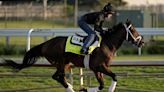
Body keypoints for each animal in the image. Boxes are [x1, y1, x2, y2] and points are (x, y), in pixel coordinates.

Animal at [3, 19, 144, 91]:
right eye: (133, 29)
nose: (141, 41)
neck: (107, 43)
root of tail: (45, 44)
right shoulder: (98, 66)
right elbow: (113, 76)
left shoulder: (97, 69)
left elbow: (101, 84)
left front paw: (85, 89)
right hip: (60, 62)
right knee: (58, 77)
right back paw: (70, 88)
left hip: (64, 63)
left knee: (58, 77)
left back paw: (69, 86)